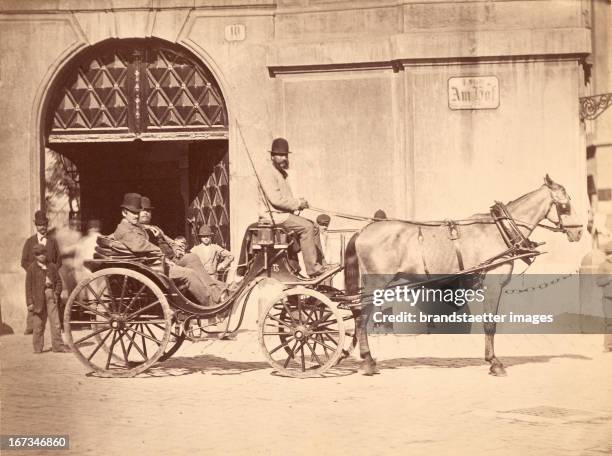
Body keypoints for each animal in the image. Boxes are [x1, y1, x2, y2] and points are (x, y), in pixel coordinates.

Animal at [344, 176, 584, 376]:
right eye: (565, 205)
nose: (580, 231)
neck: (500, 230)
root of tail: (364, 230)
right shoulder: (492, 284)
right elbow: (490, 324)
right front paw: (494, 363)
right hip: (375, 283)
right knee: (360, 317)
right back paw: (367, 361)